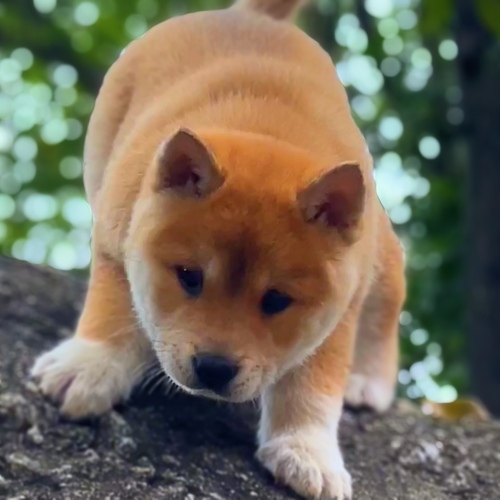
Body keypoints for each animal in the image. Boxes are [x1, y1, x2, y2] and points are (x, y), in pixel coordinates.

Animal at [31, 1, 406, 498]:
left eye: (276, 300)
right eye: (189, 277)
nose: (213, 369)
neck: (264, 128)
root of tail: (256, 16)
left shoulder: (340, 307)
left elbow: (313, 382)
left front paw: (306, 451)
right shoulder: (116, 235)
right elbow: (112, 306)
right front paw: (89, 367)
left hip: (376, 246)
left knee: (389, 296)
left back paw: (367, 380)